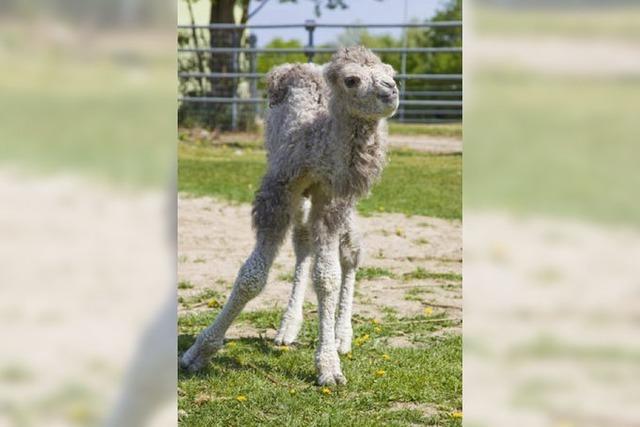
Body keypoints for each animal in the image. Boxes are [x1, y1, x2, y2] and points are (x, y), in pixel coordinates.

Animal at [180, 46, 398, 388]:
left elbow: (327, 277)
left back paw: (342, 335)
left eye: (391, 73)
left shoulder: (333, 195)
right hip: (300, 195)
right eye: (352, 79)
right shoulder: (280, 189)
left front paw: (329, 366)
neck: (313, 141)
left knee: (350, 251)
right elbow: (251, 277)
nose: (391, 91)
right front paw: (198, 351)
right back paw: (288, 328)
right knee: (303, 240)